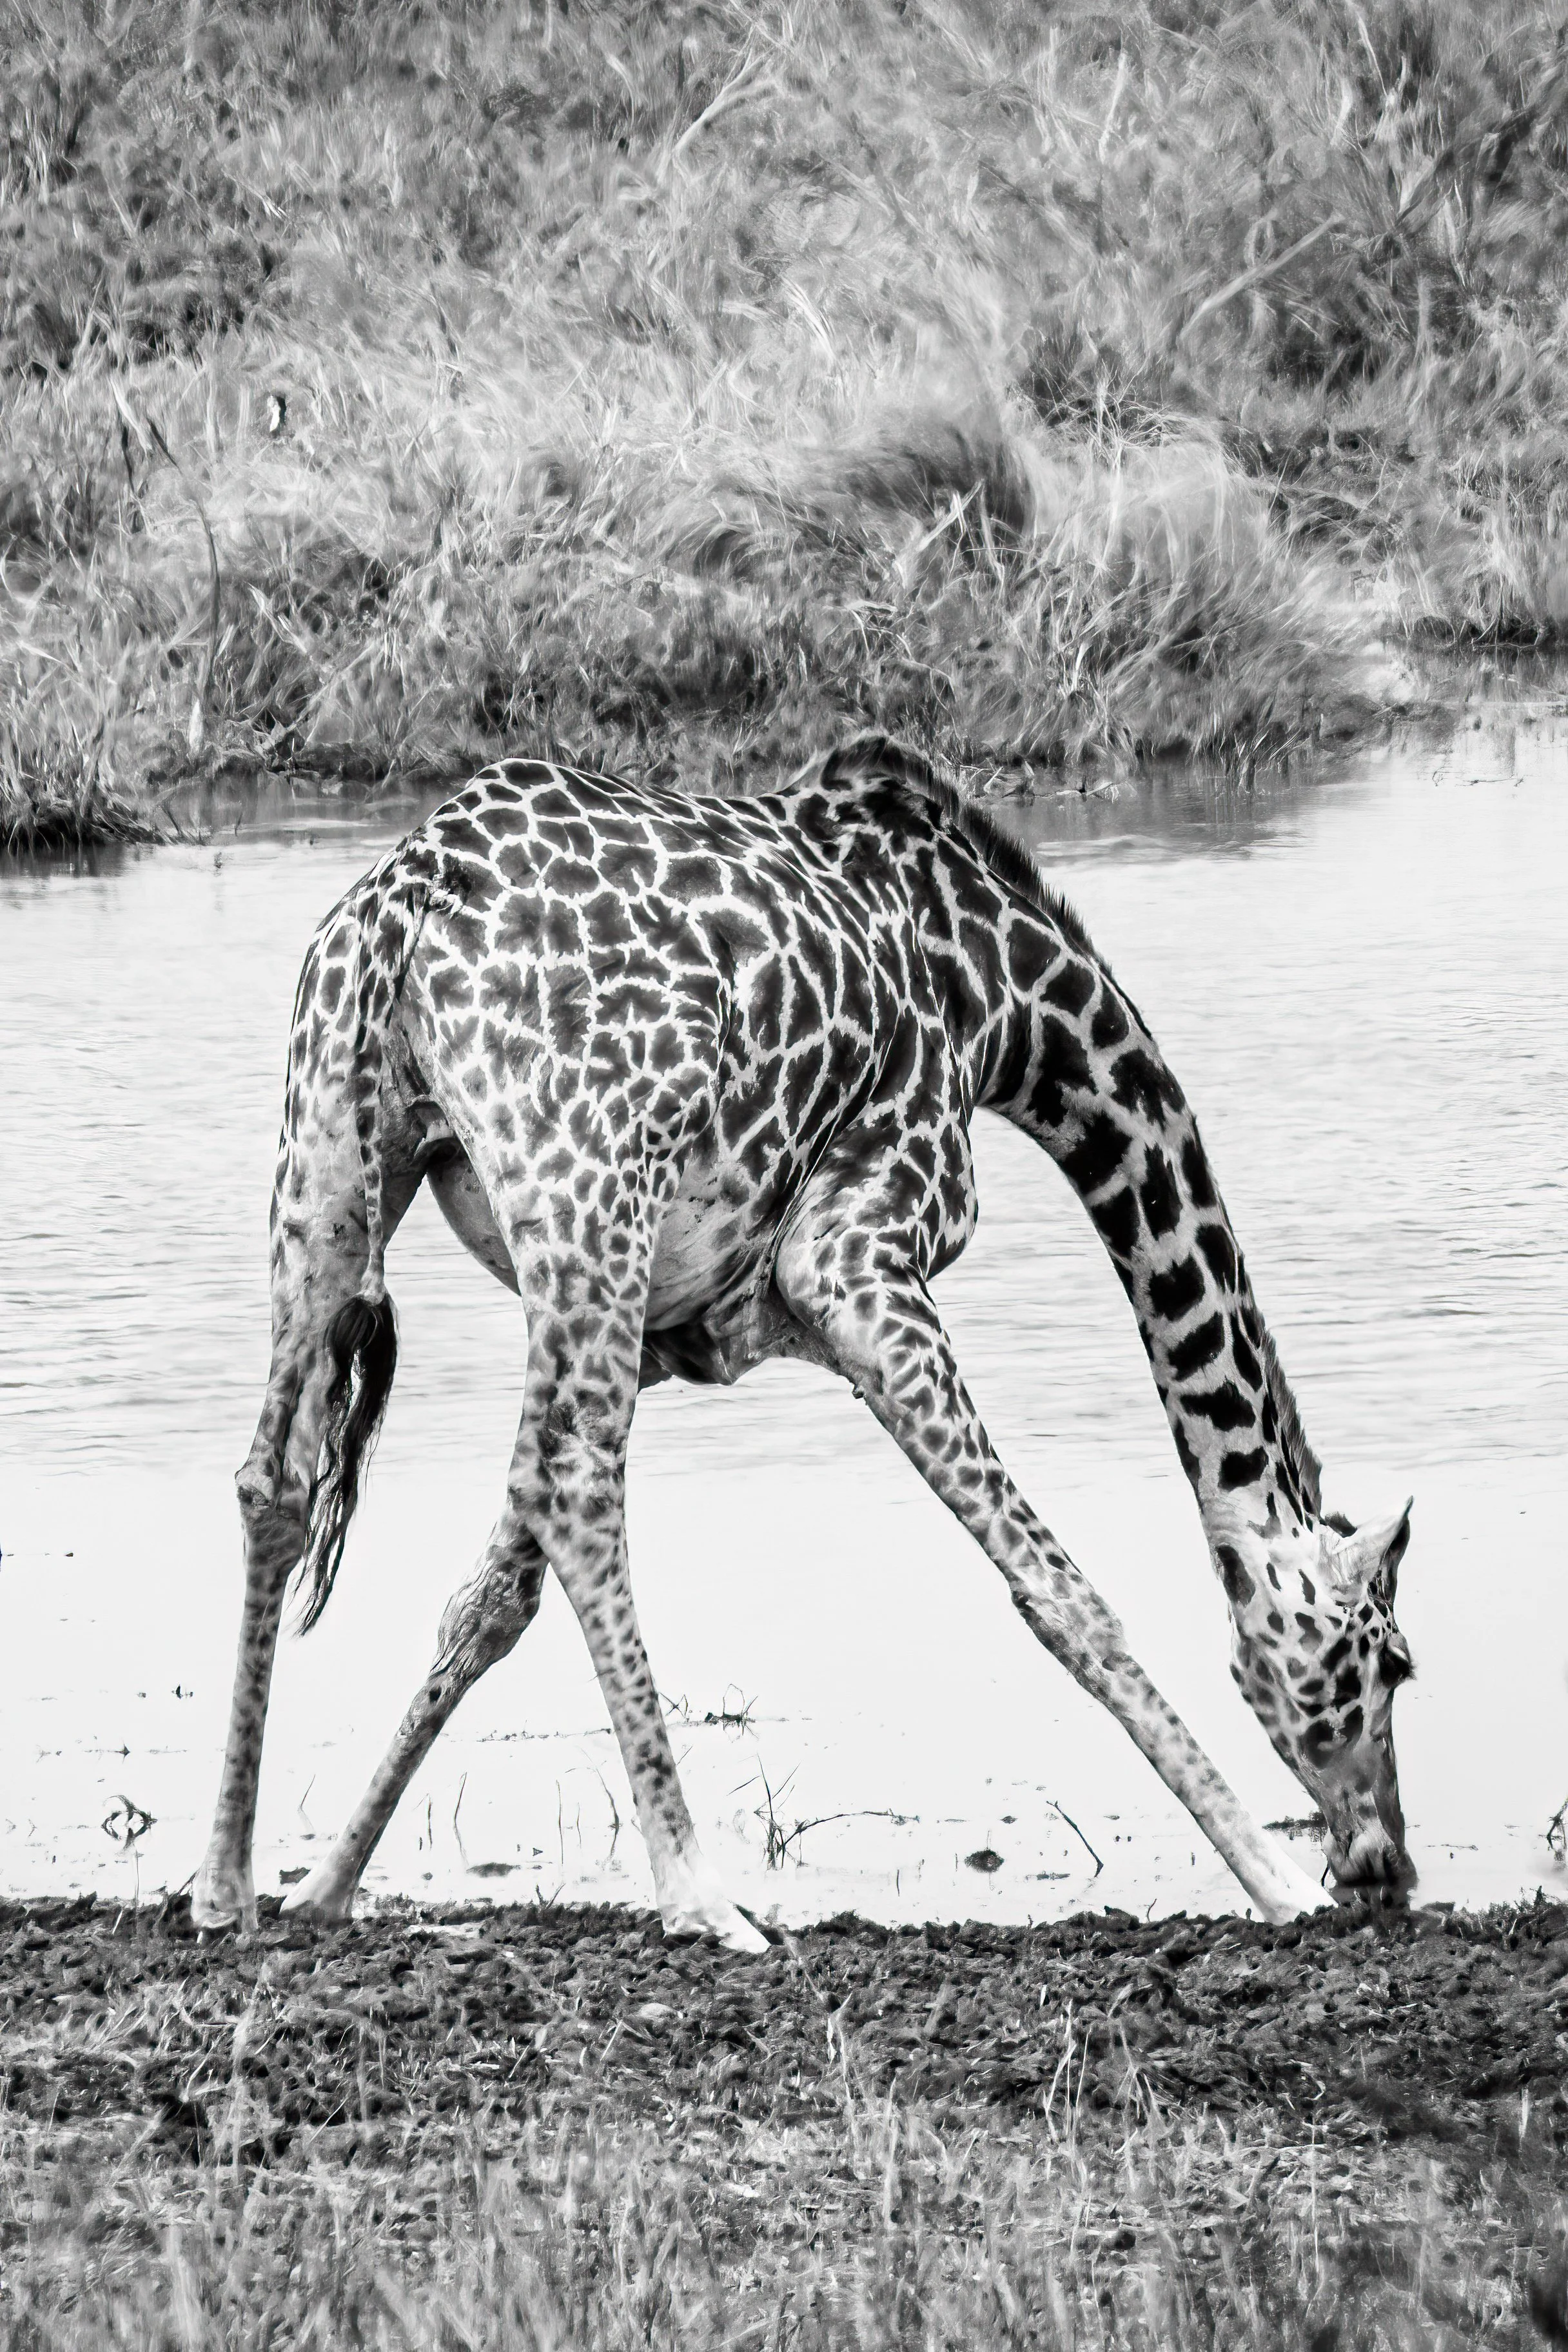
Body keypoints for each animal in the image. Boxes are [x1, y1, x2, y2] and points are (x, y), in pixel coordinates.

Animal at [192, 735, 1413, 1944]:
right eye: (1392, 1660)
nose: (1384, 1860)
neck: (1000, 1001)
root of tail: (407, 901)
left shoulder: (665, 1330)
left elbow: (488, 1600)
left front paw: (328, 1879)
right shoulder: (854, 1265)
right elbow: (1062, 1594)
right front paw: (1278, 1882)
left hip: (341, 1170)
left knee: (279, 1479)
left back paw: (224, 1883)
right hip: (592, 1198)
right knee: (583, 1494)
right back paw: (698, 1896)